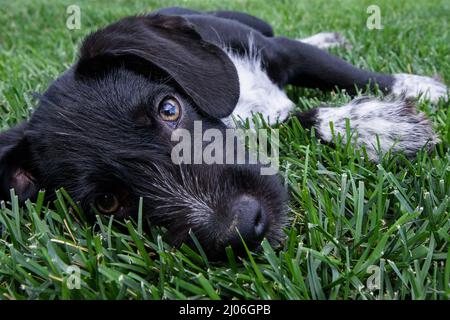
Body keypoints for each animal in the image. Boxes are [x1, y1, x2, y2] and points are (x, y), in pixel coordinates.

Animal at [0, 6, 446, 258]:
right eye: (108, 203)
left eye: (169, 108)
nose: (246, 228)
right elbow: (295, 118)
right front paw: (378, 126)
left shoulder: (283, 52)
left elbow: (356, 74)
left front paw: (412, 99)